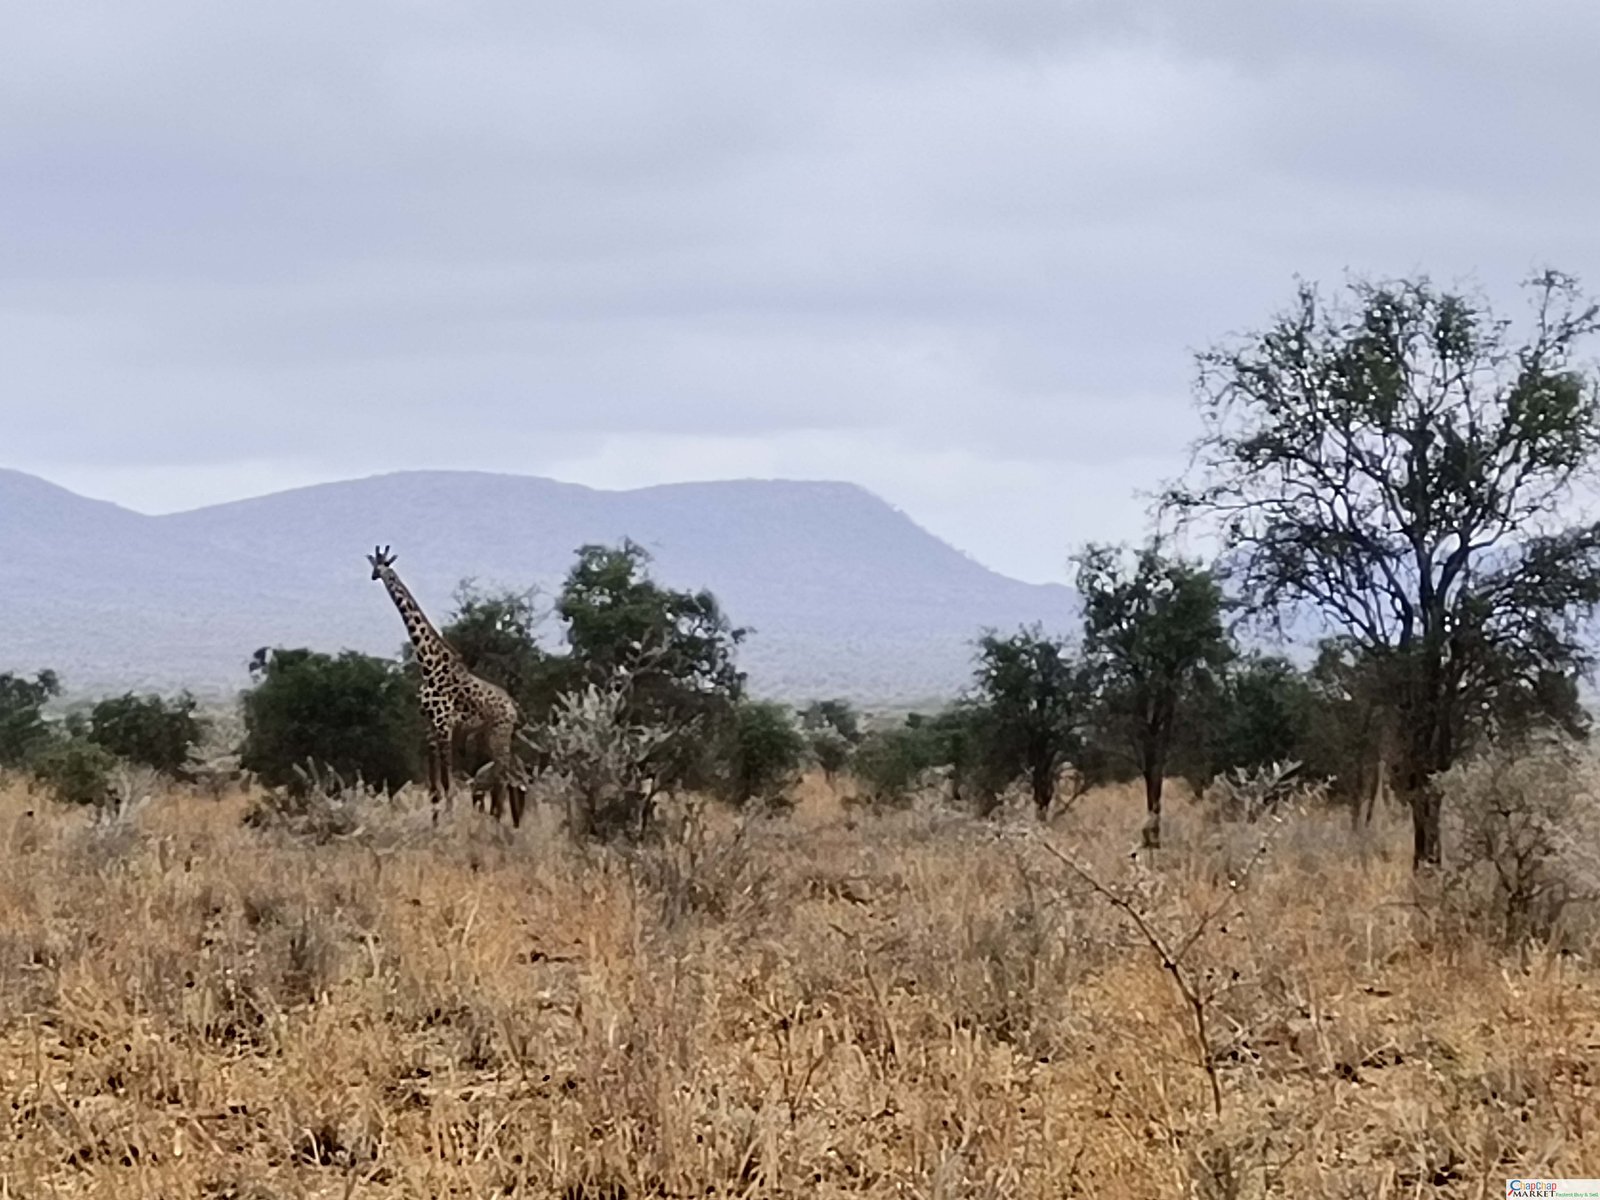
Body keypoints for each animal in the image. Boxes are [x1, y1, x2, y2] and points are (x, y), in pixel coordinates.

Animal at [366, 544, 531, 825]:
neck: (428, 664)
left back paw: (501, 822)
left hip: (499, 733)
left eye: (384, 565)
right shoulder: (430, 727)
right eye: (373, 565)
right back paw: (505, 822)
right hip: (491, 734)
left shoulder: (444, 725)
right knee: (508, 774)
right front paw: (435, 823)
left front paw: (449, 821)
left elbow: (447, 781)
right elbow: (434, 786)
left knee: (505, 776)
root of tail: (513, 705)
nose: (374, 576)